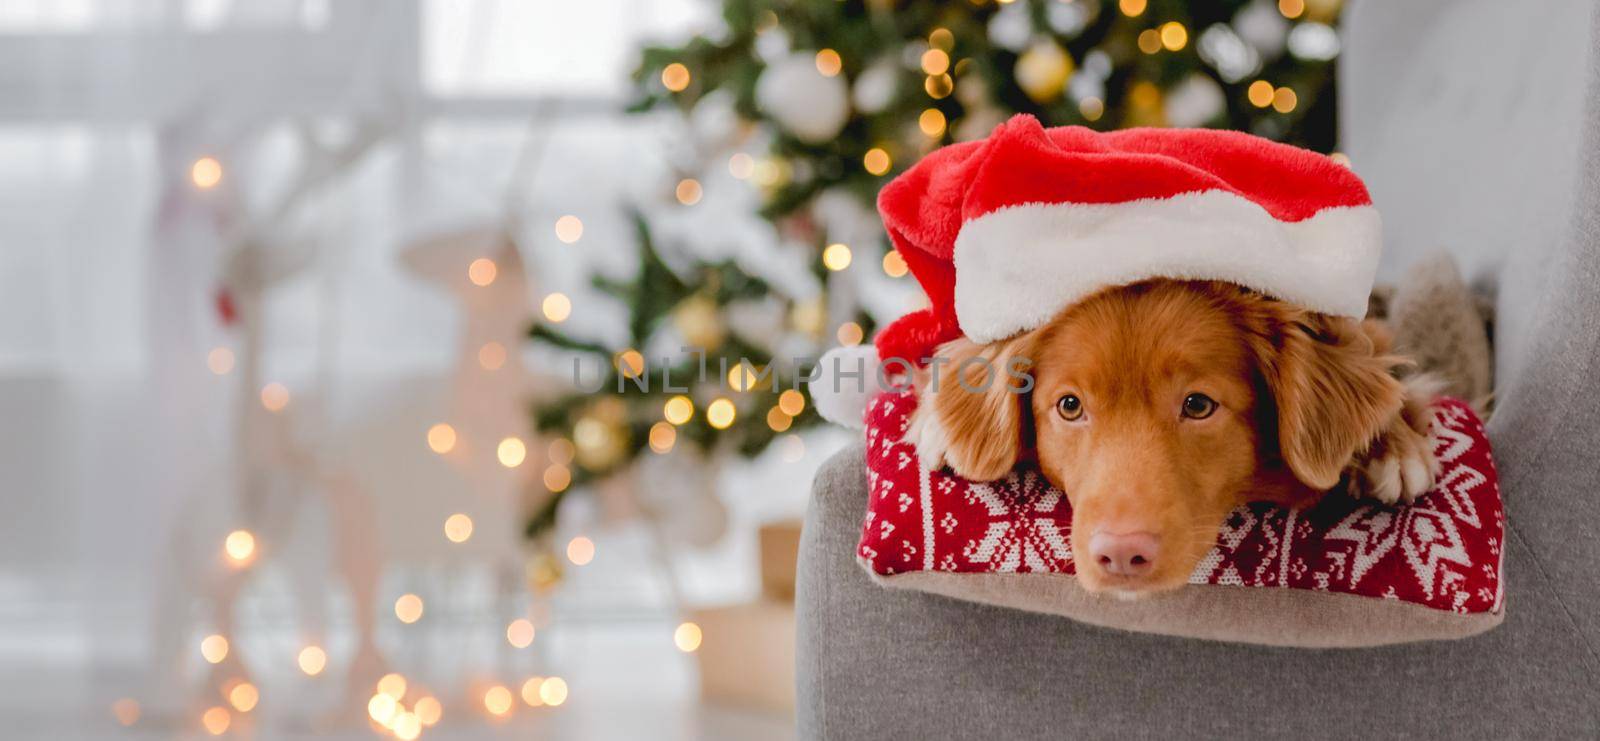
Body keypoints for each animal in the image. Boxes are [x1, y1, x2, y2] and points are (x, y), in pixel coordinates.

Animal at [908, 278, 1446, 598]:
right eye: (1070, 406)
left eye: (1198, 405)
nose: (1121, 555)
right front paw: (937, 421)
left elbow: (1385, 368)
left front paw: (1392, 445)